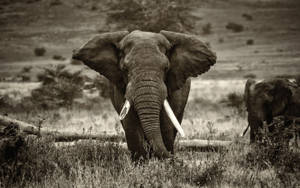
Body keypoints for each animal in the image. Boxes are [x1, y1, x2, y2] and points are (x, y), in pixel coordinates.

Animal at [71, 30, 217, 159]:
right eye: (125, 69)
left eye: (166, 68)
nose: (175, 158)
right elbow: (131, 124)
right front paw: (141, 164)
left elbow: (167, 125)